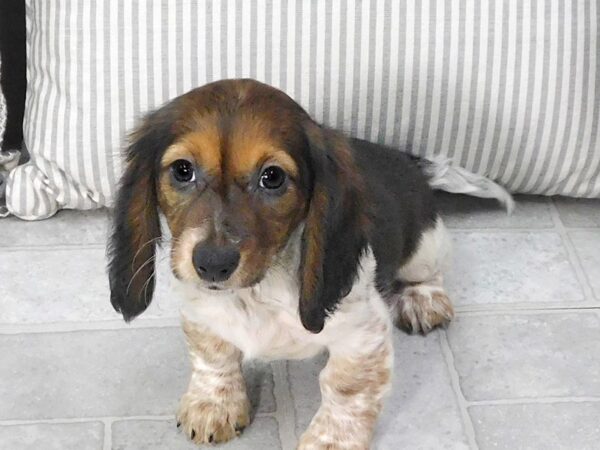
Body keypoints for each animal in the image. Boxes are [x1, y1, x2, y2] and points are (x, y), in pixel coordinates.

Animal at [108, 79, 506, 448]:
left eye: (272, 177)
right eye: (182, 170)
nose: (212, 263)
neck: (257, 292)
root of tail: (410, 162)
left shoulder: (363, 332)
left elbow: (345, 386)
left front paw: (332, 440)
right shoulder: (201, 312)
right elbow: (212, 353)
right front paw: (213, 404)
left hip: (425, 246)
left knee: (429, 272)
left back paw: (423, 301)